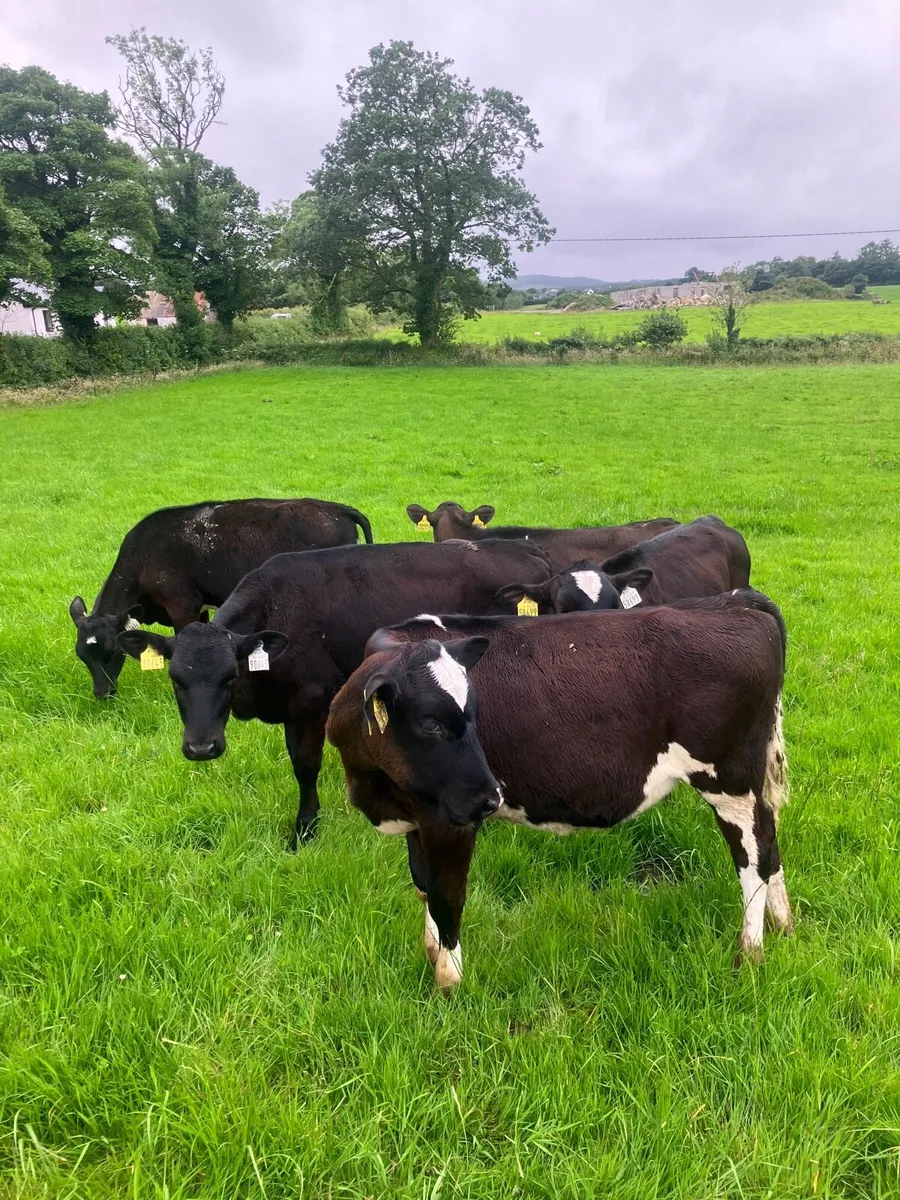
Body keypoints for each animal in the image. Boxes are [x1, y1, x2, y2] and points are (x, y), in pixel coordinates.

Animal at [69, 498, 374, 699]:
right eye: (82, 656)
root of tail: (338, 509)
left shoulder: (181, 605)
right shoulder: (199, 608)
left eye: (112, 652)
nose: (102, 693)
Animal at [116, 539, 552, 846]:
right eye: (176, 680)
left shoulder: (309, 704)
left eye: (228, 677)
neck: (276, 610)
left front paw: (305, 829)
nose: (201, 748)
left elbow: (305, 766)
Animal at [326, 591, 790, 993]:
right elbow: (423, 885)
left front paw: (449, 982)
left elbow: (447, 897)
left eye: (474, 713)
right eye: (431, 723)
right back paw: (783, 924)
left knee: (754, 858)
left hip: (730, 782)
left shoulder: (451, 819)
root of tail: (734, 601)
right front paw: (430, 952)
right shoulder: (417, 815)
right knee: (770, 843)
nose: (491, 798)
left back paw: (750, 954)